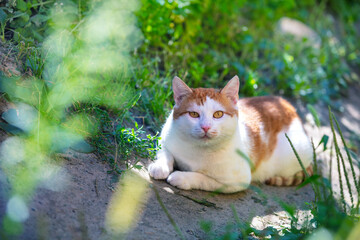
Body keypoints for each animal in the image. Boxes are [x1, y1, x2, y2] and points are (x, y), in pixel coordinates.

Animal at [148, 76, 310, 193]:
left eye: (218, 114)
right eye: (193, 114)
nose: (206, 127)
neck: (197, 150)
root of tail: (291, 109)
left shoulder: (237, 181)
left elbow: (204, 179)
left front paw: (182, 177)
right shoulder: (164, 137)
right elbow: (165, 153)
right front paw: (160, 166)